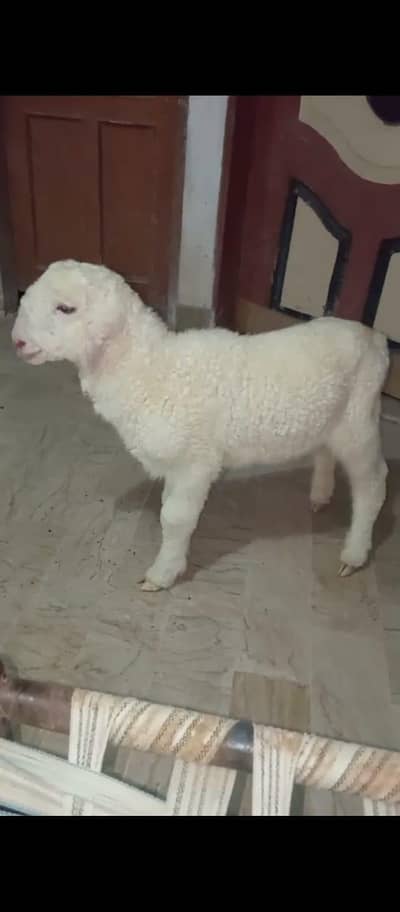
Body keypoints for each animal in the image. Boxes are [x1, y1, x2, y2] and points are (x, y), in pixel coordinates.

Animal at [11, 259, 389, 591]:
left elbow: (174, 518)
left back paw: (354, 553)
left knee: (372, 485)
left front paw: (162, 574)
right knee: (326, 452)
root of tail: (377, 339)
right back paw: (320, 496)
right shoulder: (175, 465)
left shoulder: (195, 462)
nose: (17, 342)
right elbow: (168, 508)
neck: (147, 369)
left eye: (66, 308)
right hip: (331, 418)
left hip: (360, 420)